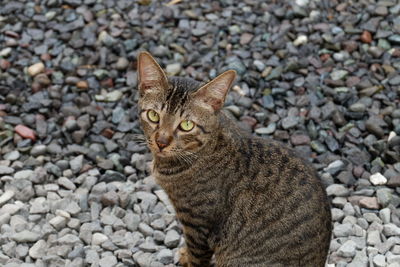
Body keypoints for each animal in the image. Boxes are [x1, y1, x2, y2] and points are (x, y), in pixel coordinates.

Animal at [137, 51, 332, 266]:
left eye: (187, 125)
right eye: (153, 116)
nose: (161, 141)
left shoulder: (198, 224)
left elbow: (197, 257)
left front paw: (187, 259)